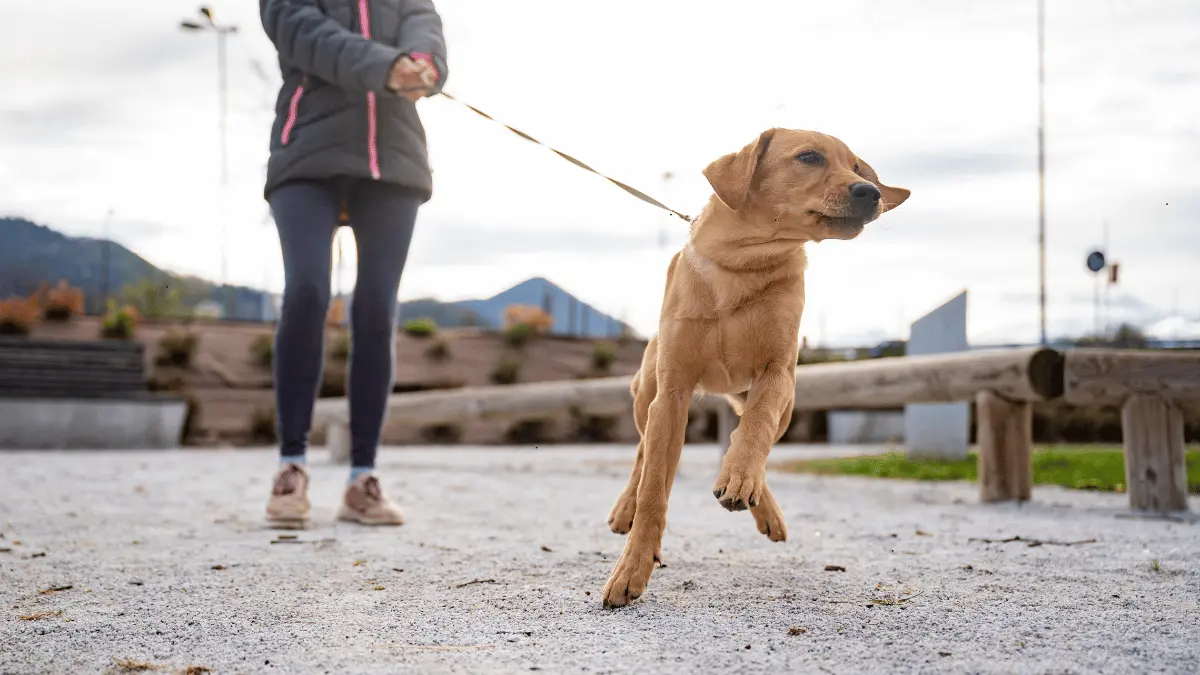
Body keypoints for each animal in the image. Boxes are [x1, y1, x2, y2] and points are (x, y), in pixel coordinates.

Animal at [604, 128, 902, 607]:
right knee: (643, 453)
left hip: (783, 406)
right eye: (809, 157)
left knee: (746, 435)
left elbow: (754, 431)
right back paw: (627, 507)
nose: (870, 192)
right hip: (645, 395)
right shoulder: (672, 393)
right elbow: (654, 490)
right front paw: (632, 566)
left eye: (857, 167)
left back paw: (755, 498)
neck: (742, 265)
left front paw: (741, 477)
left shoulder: (776, 375)